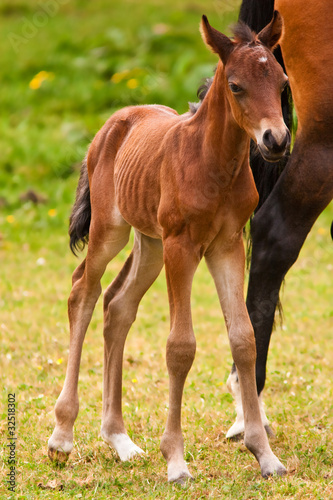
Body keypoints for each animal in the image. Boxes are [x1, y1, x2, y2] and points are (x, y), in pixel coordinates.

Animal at [48, 13, 290, 482]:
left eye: (283, 81)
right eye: (236, 85)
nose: (276, 140)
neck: (213, 162)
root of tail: (114, 122)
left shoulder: (227, 245)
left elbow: (243, 338)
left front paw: (264, 453)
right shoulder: (183, 246)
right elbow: (181, 346)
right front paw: (176, 460)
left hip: (150, 243)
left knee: (118, 304)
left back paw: (120, 440)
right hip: (112, 230)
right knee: (83, 292)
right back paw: (62, 435)